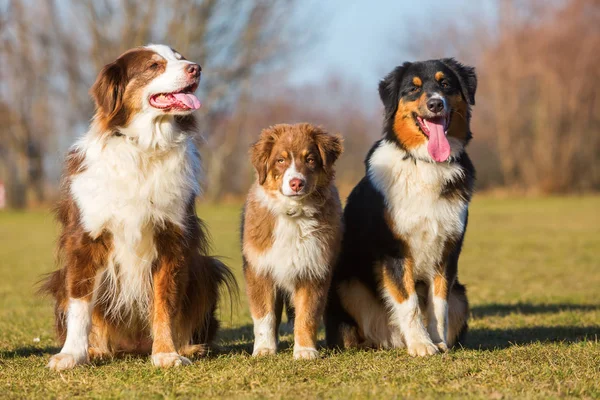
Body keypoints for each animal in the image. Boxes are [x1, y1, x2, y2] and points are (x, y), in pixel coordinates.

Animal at [40, 45, 234, 370]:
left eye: (181, 58)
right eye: (154, 66)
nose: (196, 68)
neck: (144, 147)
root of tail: (134, 346)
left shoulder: (172, 238)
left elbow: (164, 302)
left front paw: (167, 353)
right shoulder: (85, 239)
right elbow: (80, 305)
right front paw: (71, 355)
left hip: (205, 270)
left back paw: (190, 347)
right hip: (59, 279)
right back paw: (97, 350)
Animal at [240, 122, 342, 360]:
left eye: (310, 159)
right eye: (280, 160)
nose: (296, 183)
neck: (293, 214)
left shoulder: (314, 270)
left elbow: (307, 315)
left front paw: (305, 351)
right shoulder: (260, 269)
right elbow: (264, 315)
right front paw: (264, 350)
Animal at [326, 58, 476, 356]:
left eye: (445, 84)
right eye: (413, 88)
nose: (436, 104)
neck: (425, 164)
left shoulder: (447, 250)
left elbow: (437, 305)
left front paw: (437, 341)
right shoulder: (393, 249)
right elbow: (408, 302)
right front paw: (421, 344)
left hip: (461, 295)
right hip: (345, 283)